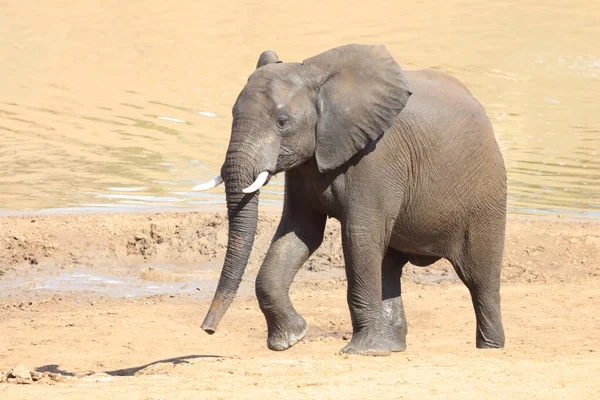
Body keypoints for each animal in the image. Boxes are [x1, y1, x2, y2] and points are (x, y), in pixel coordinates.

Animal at [193, 44, 506, 356]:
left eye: (283, 123)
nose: (208, 329)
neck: (317, 76)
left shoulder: (376, 156)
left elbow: (359, 236)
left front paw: (358, 351)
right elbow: (300, 231)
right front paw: (289, 340)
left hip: (486, 193)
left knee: (480, 279)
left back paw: (489, 348)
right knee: (389, 266)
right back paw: (389, 348)